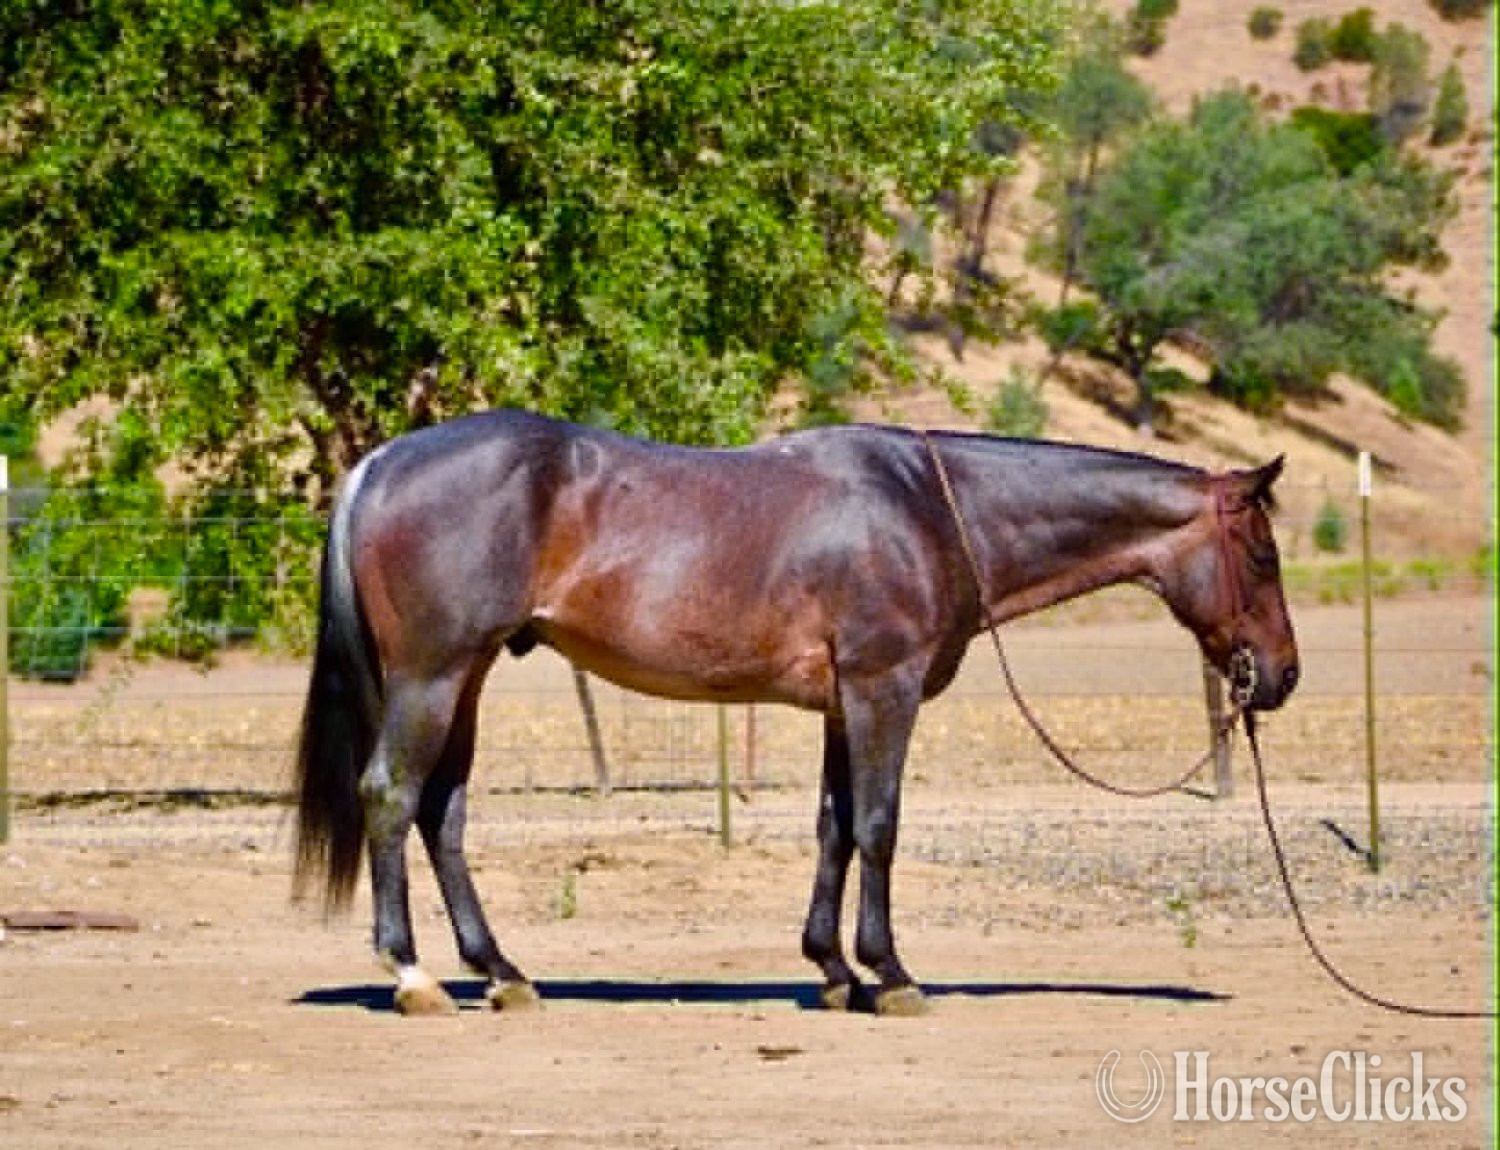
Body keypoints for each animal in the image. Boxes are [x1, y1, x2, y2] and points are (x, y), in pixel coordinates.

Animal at [294, 408, 1298, 1016]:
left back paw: (501, 973)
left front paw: (833, 970)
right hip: (432, 676)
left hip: (463, 680)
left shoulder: (841, 705)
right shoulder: (884, 688)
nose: (1282, 676)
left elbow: (835, 827)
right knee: (391, 797)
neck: (932, 508)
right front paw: (890, 975)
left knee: (442, 814)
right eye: (1262, 556)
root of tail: (379, 462)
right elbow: (881, 826)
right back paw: (413, 974)